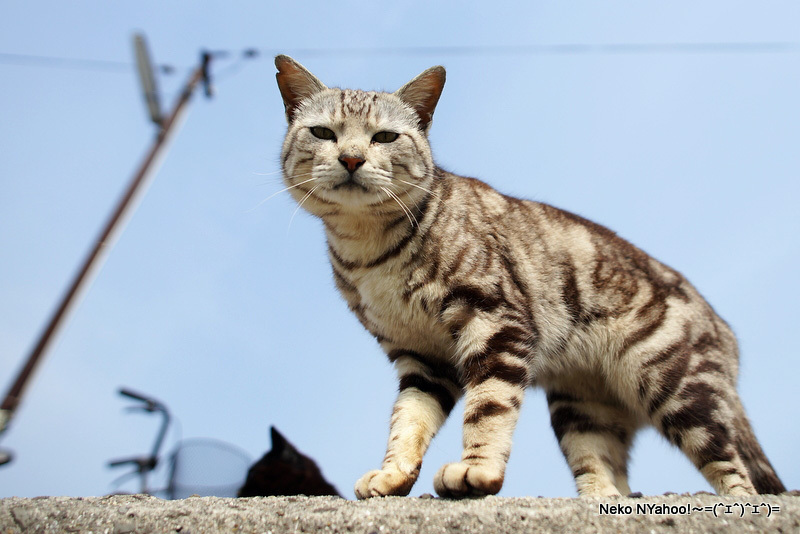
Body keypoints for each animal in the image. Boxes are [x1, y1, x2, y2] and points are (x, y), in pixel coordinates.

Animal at [272, 56, 784, 500]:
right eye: (323, 132)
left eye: (383, 137)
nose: (352, 158)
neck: (370, 253)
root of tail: (724, 331)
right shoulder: (421, 358)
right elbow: (408, 422)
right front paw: (393, 474)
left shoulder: (495, 322)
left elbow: (488, 408)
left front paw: (476, 470)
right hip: (583, 409)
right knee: (604, 469)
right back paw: (599, 500)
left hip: (676, 387)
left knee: (738, 471)